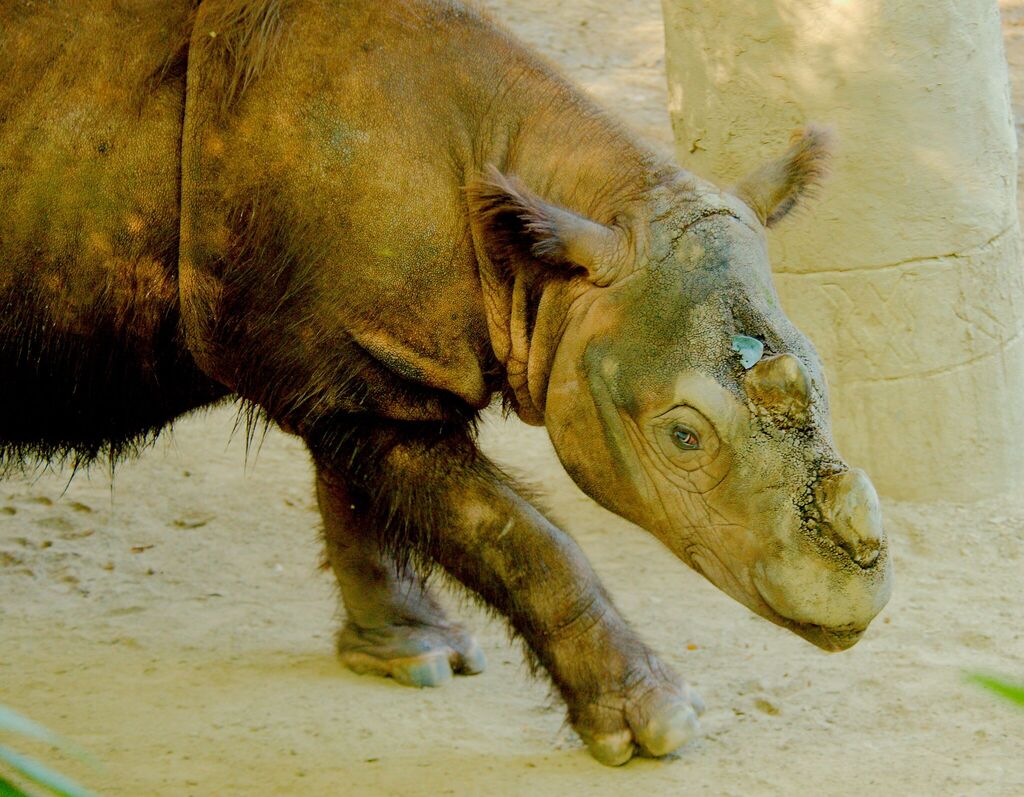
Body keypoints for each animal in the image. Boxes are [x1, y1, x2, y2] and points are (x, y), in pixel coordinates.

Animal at [0, 0, 892, 765]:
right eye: (682, 435)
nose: (857, 599)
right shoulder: (354, 374)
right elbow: (515, 532)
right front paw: (657, 725)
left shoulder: (359, 358)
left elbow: (358, 500)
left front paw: (409, 654)